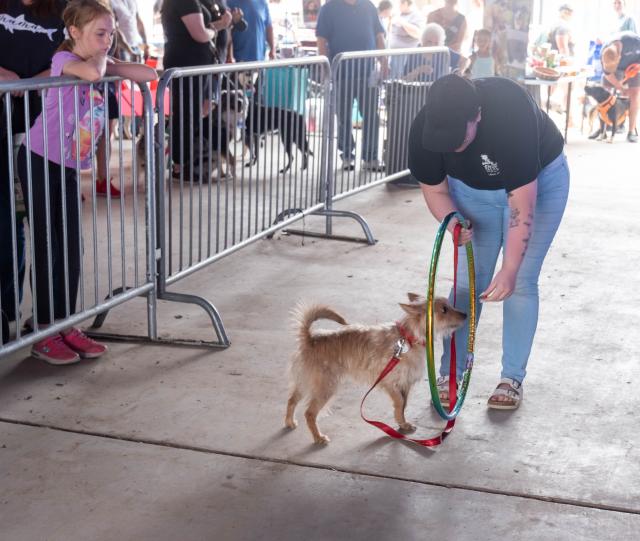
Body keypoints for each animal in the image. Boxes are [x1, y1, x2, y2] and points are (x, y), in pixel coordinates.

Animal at [284, 294, 464, 446]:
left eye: (449, 305)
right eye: (444, 310)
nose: (465, 314)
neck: (408, 339)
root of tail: (310, 339)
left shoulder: (404, 384)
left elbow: (403, 406)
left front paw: (402, 423)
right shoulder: (390, 382)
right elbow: (400, 403)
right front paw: (401, 422)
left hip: (305, 383)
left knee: (292, 400)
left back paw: (289, 422)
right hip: (325, 388)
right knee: (309, 413)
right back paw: (318, 437)